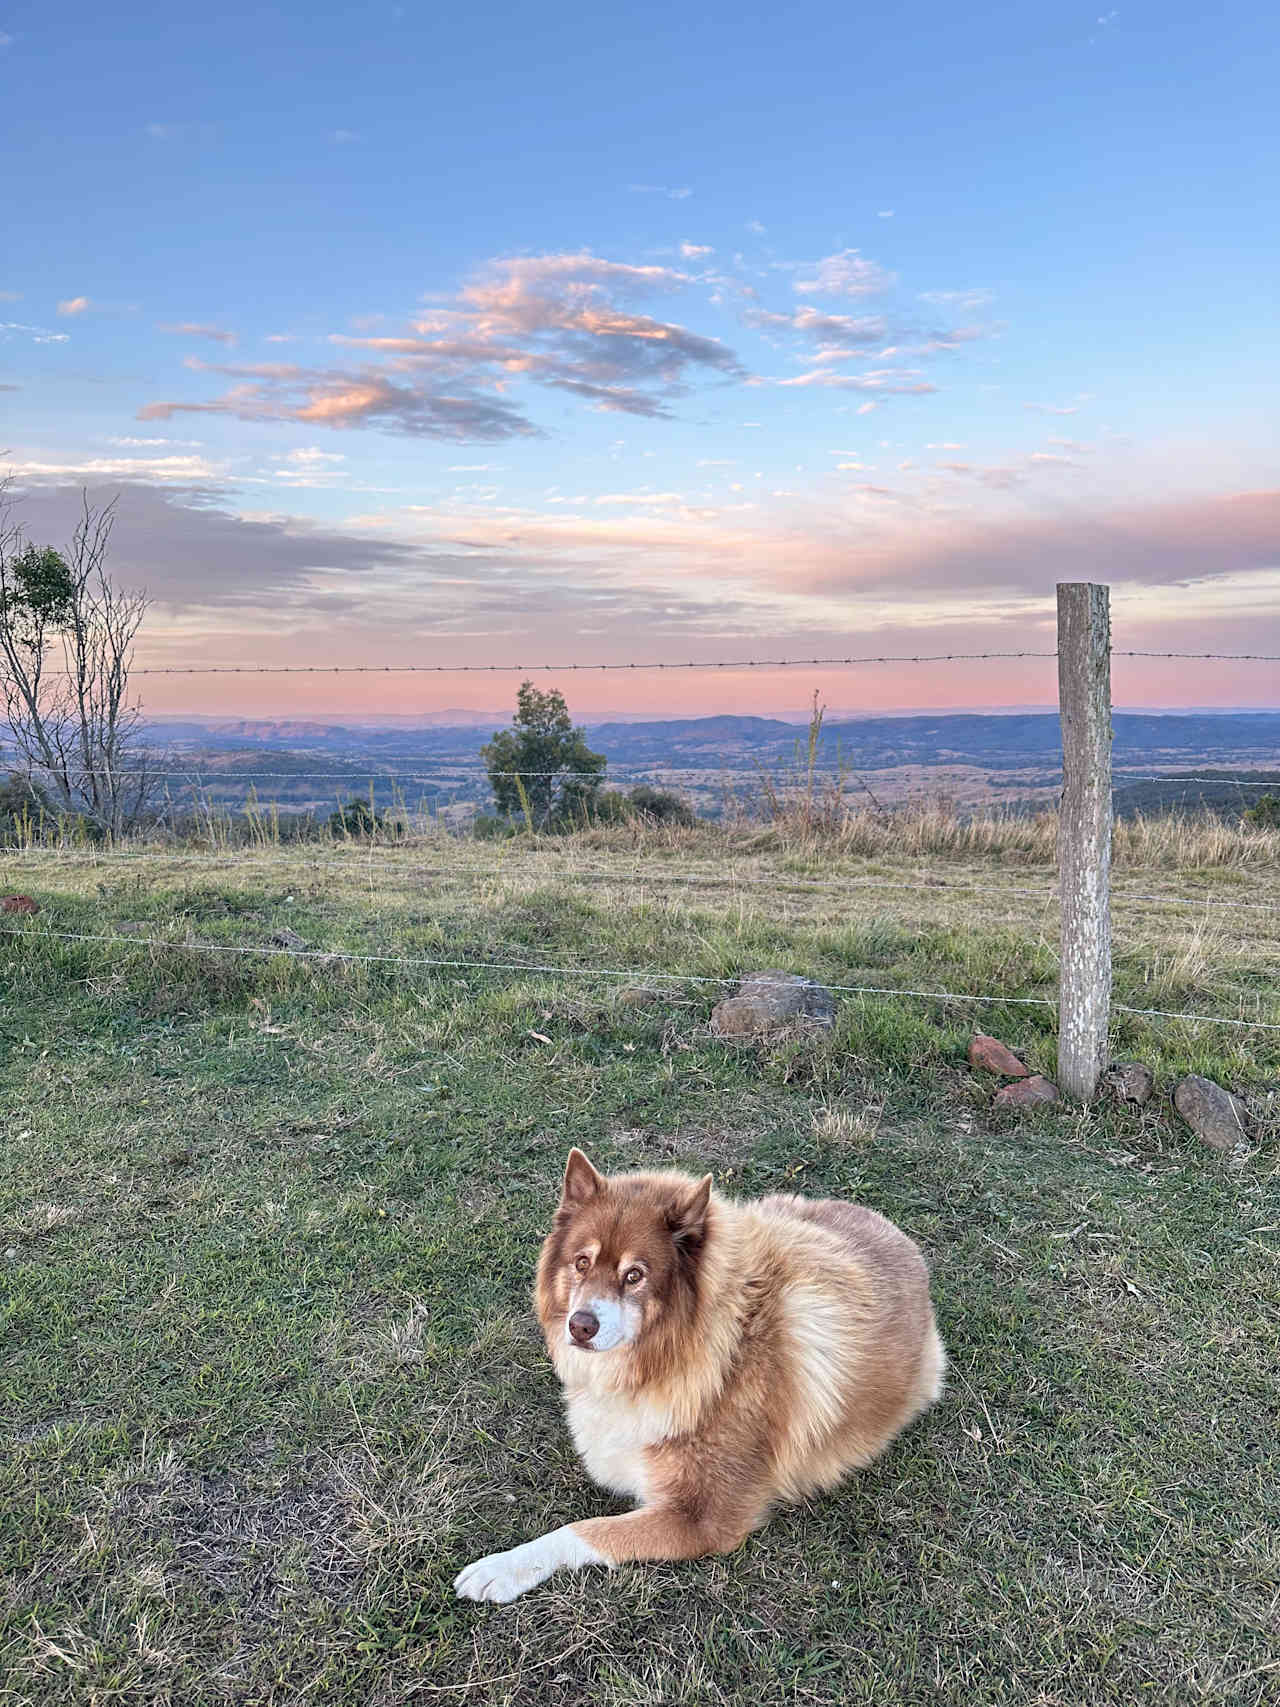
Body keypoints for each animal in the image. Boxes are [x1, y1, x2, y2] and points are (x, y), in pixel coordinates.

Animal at [457, 1147, 948, 1597]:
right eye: (582, 1262)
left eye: (635, 1275)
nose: (580, 1326)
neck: (686, 1352)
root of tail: (897, 1235)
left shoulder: (703, 1518)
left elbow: (586, 1529)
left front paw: (502, 1568)